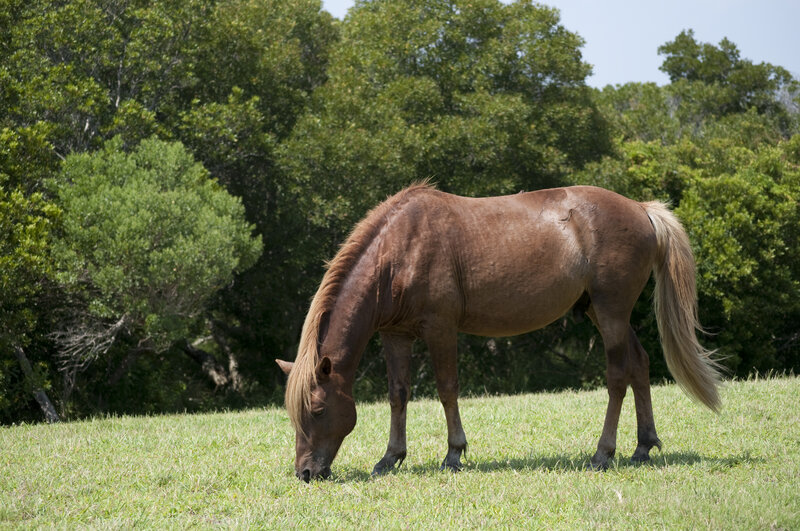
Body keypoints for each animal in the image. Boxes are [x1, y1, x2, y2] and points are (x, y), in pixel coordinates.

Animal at [276, 183, 722, 482]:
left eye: (318, 410)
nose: (305, 473)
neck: (400, 249)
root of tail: (642, 209)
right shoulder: (396, 335)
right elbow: (398, 394)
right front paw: (390, 458)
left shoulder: (440, 328)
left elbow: (447, 389)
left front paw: (454, 454)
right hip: (602, 311)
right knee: (640, 365)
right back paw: (642, 447)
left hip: (611, 313)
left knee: (617, 378)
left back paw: (602, 453)